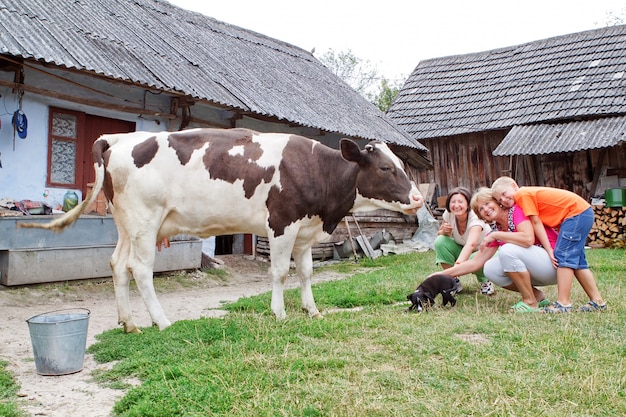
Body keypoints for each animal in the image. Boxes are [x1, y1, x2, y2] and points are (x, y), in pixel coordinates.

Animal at [19, 128, 422, 334]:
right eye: (385, 168)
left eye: (402, 165)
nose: (418, 198)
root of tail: (119, 139)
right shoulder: (281, 224)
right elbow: (280, 272)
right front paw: (279, 313)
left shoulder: (305, 230)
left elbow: (306, 272)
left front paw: (312, 310)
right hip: (145, 220)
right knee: (141, 269)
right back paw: (161, 321)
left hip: (126, 223)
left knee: (118, 265)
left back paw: (130, 323)